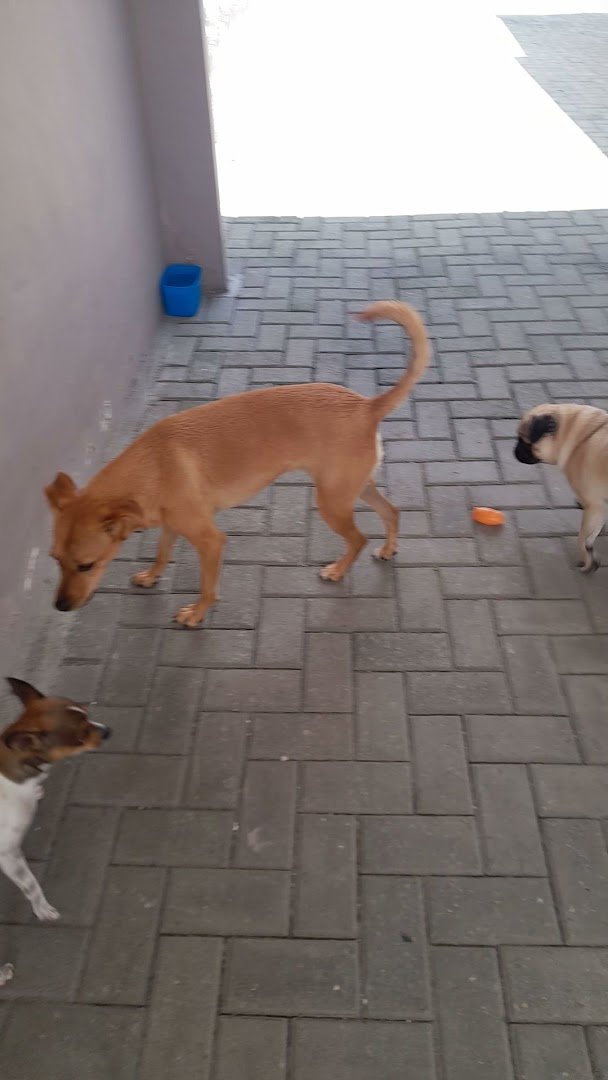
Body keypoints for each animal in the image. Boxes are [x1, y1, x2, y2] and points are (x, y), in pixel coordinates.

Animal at [0, 678, 110, 926]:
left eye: (88, 715)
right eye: (81, 736)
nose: (108, 731)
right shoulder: (8, 854)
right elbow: (30, 884)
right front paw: (42, 909)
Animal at [45, 301, 429, 627]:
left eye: (86, 565)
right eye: (55, 560)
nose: (59, 607)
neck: (153, 465)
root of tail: (367, 406)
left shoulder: (211, 541)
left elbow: (207, 587)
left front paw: (197, 613)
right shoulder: (172, 525)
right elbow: (161, 552)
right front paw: (153, 576)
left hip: (332, 502)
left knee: (359, 538)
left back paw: (338, 570)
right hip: (354, 488)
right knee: (392, 512)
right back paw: (388, 547)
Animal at [515, 402, 608, 573]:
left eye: (523, 441)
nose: (515, 450)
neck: (582, 438)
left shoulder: (594, 505)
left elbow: (582, 538)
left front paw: (587, 561)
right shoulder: (600, 506)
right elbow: (593, 532)